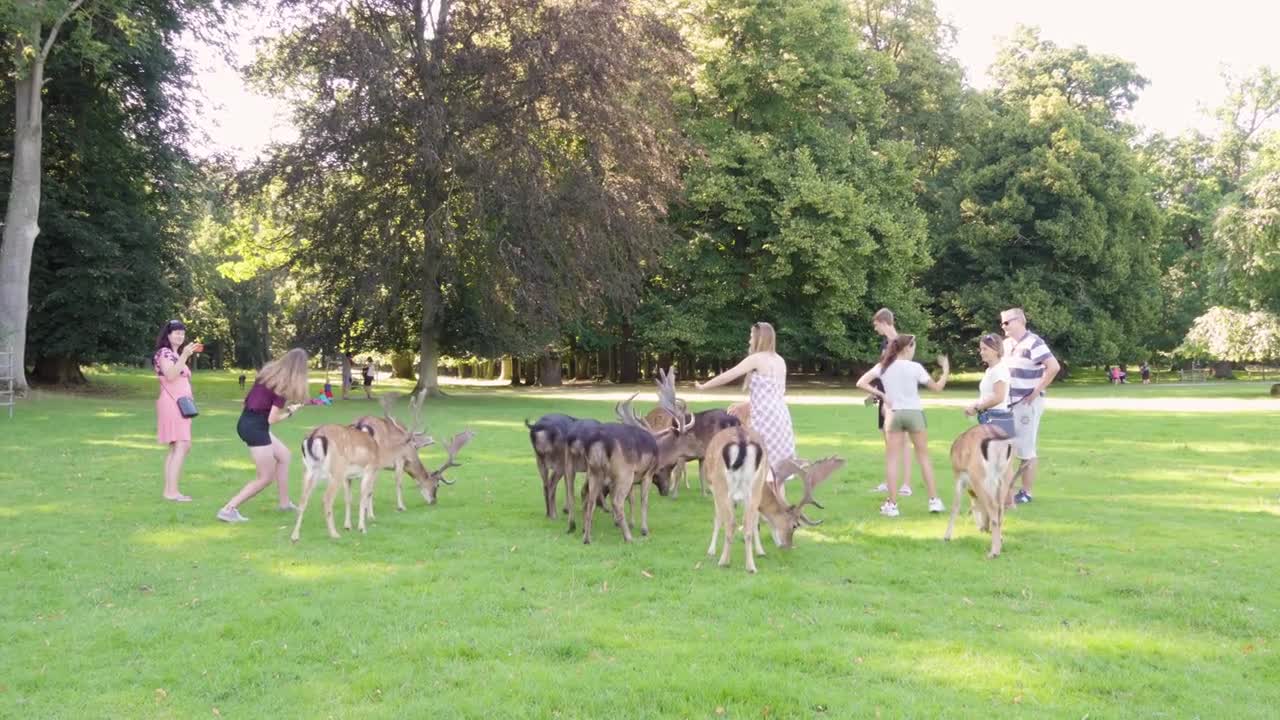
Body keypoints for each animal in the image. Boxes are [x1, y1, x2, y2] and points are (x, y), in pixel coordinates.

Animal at [701, 425, 839, 571]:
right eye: (795, 525)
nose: (788, 546)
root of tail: (742, 440)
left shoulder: (716, 490)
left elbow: (723, 519)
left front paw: (711, 550)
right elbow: (748, 521)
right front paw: (760, 551)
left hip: (723, 485)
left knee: (732, 523)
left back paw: (725, 562)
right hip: (750, 487)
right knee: (744, 524)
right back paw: (750, 566)